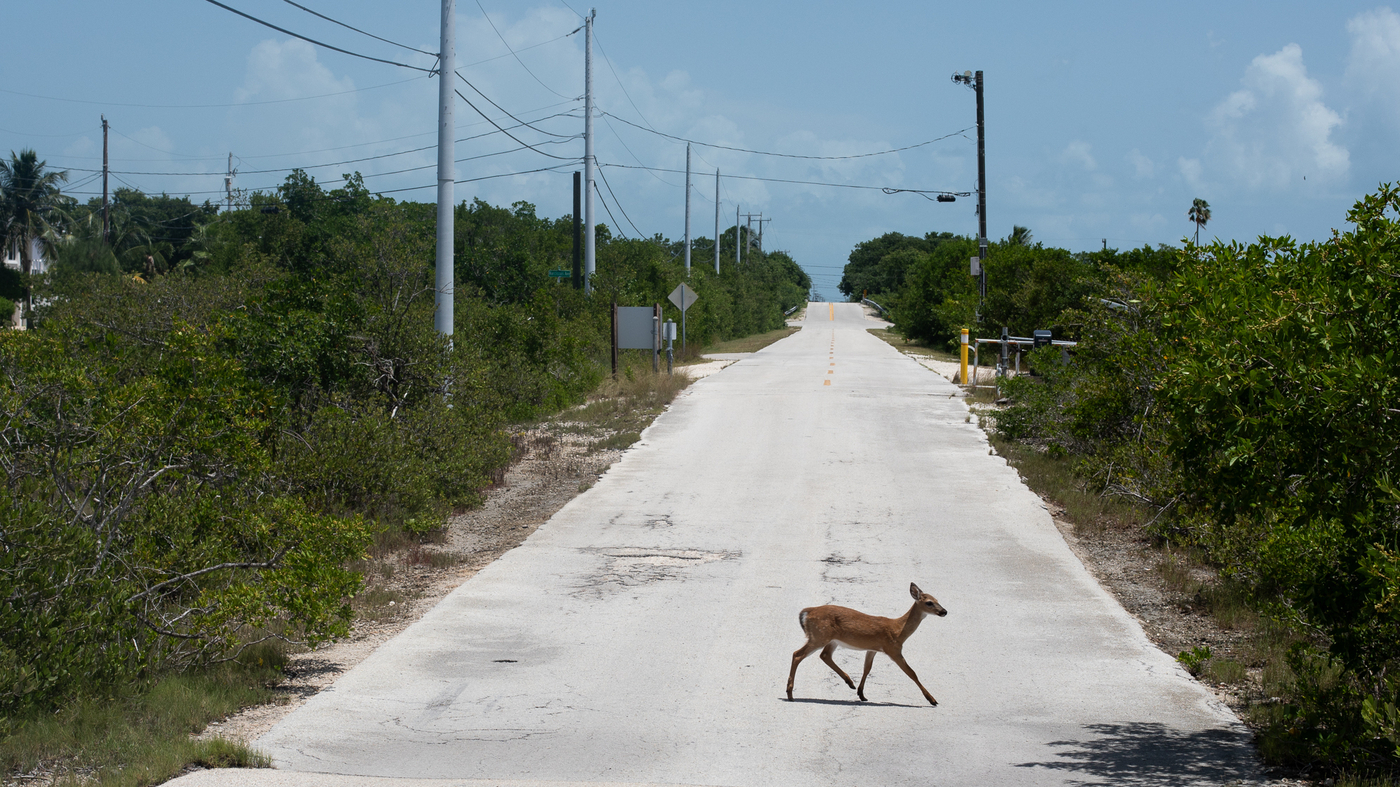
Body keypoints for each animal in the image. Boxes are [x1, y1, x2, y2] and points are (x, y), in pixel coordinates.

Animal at [786, 582, 947, 706]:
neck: (898, 630)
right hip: (819, 636)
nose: (944, 611)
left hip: (831, 639)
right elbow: (911, 672)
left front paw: (861, 694)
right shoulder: (893, 649)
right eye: (929, 602)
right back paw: (790, 693)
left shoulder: (873, 649)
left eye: (937, 599)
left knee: (824, 655)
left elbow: (867, 668)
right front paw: (932, 700)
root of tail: (807, 611)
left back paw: (850, 682)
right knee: (797, 654)